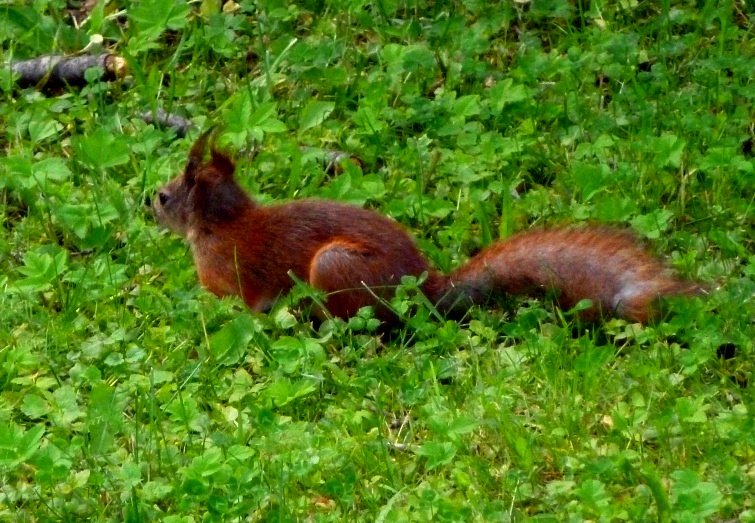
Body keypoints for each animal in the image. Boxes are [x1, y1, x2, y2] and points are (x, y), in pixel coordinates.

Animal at [151, 132, 700, 324]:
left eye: (164, 196)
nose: (147, 205)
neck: (223, 222)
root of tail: (425, 287)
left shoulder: (229, 278)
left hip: (334, 268)